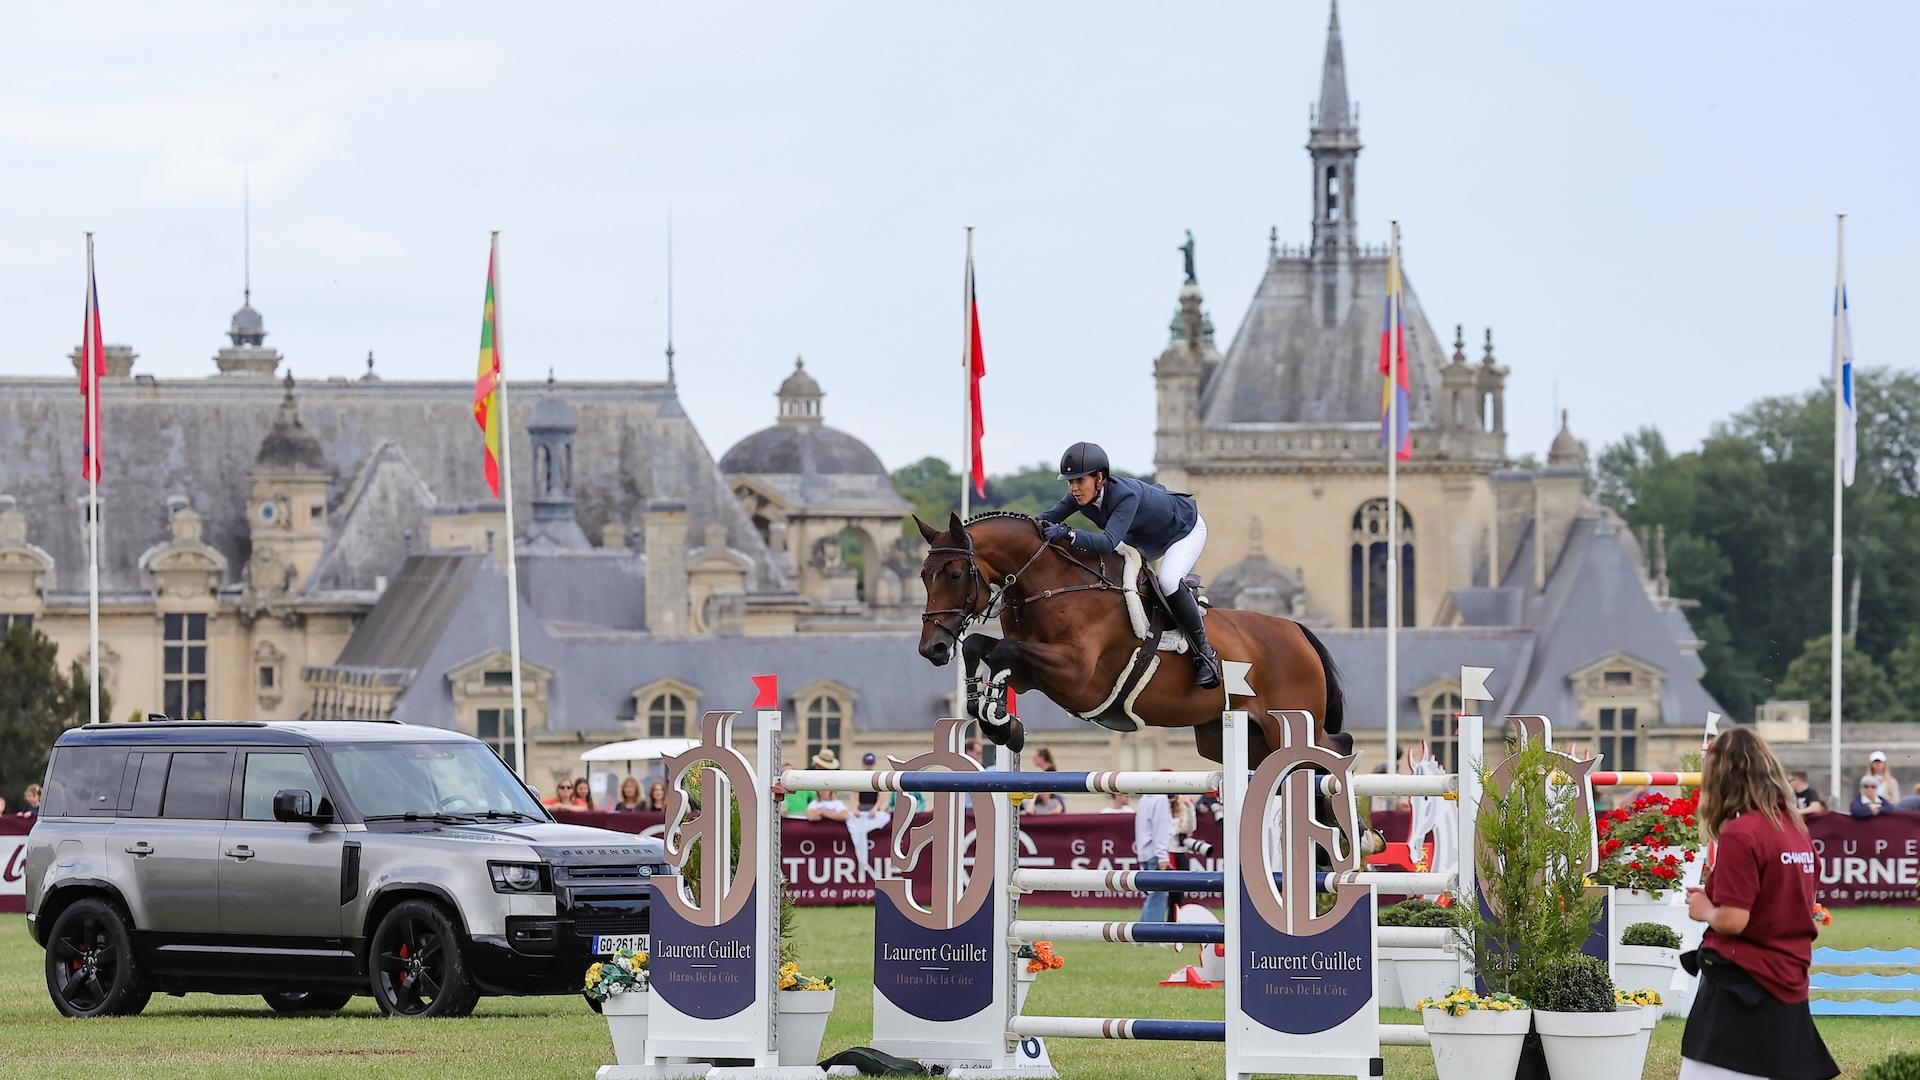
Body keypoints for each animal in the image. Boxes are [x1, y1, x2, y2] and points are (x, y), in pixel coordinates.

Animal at [917, 507, 1351, 764]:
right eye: (924, 574)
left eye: (954, 574)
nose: (931, 648)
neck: (1054, 584)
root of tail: (1297, 631)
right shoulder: (1035, 673)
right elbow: (984, 647)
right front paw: (993, 718)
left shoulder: (1075, 675)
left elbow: (1003, 650)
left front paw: (996, 719)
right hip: (1237, 738)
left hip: (1290, 723)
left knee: (1334, 751)